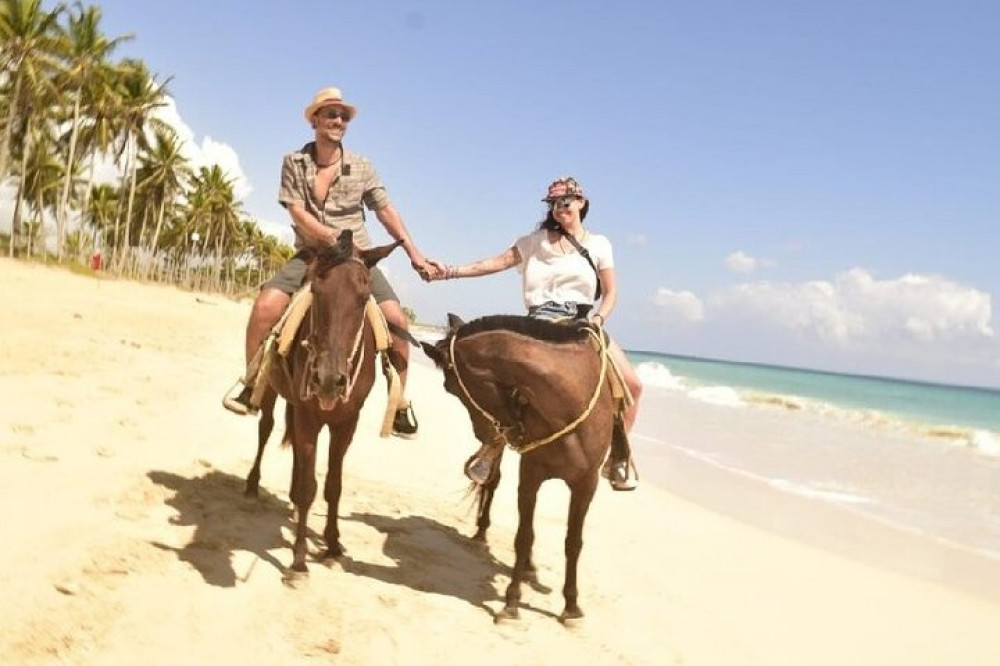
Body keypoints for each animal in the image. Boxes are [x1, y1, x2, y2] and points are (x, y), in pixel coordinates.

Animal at [244, 232, 400, 580]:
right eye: (315, 290)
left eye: (364, 296)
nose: (329, 380)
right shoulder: (308, 416)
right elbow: (308, 487)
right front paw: (299, 560)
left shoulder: (346, 422)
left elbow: (332, 485)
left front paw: (331, 545)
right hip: (271, 390)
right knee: (265, 428)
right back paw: (251, 485)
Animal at [420, 314, 616, 620]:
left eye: (449, 387)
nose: (484, 434)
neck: (568, 404)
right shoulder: (531, 474)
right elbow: (524, 536)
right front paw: (511, 601)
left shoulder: (586, 484)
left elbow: (573, 542)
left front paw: (571, 606)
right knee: (492, 481)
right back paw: (485, 537)